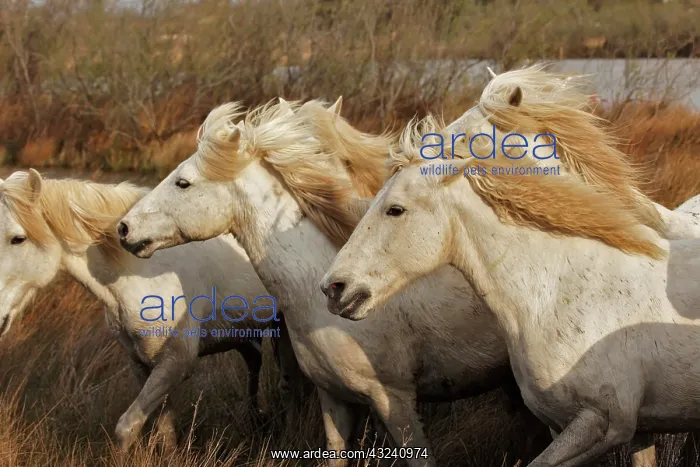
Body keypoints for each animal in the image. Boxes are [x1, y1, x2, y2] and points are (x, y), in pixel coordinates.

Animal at [0, 170, 303, 452]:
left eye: (18, 239)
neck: (140, 272)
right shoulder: (142, 363)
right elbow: (164, 428)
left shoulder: (175, 363)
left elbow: (127, 427)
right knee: (255, 366)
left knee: (288, 386)